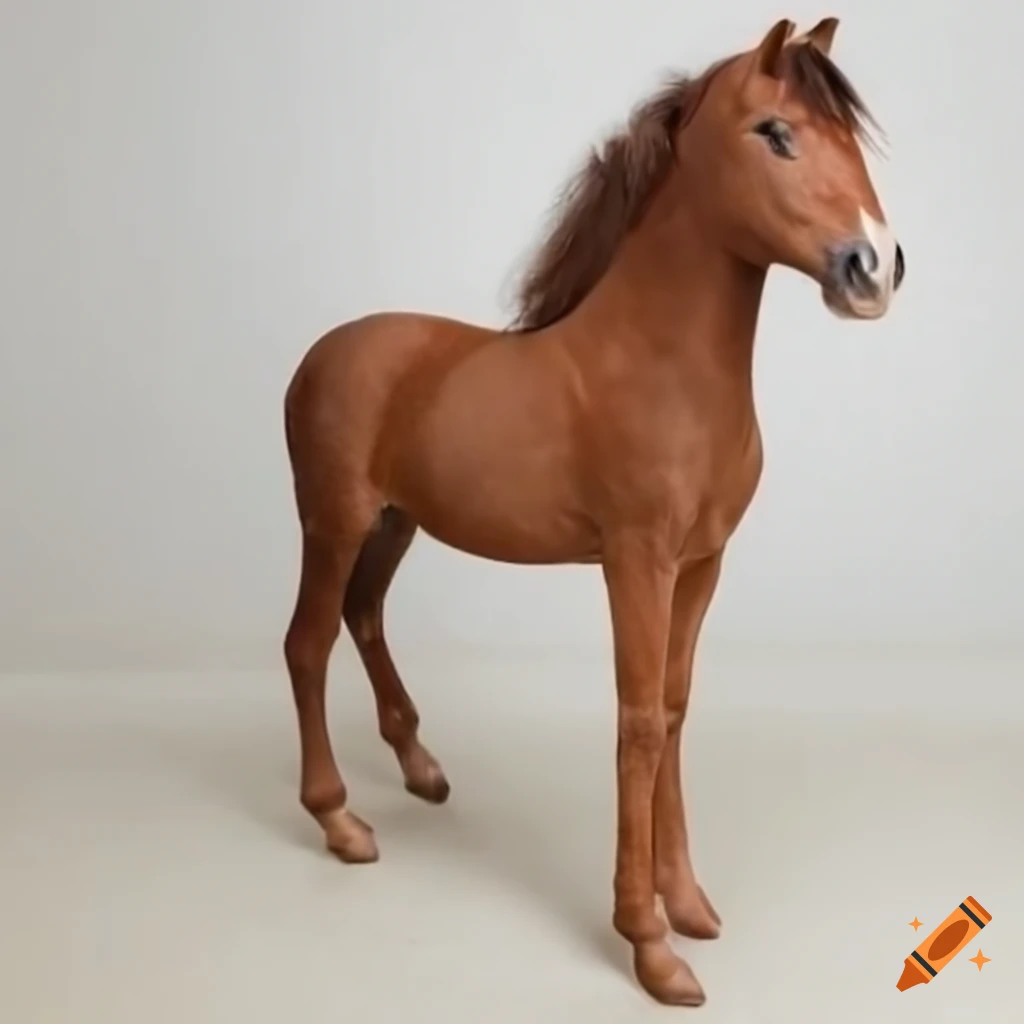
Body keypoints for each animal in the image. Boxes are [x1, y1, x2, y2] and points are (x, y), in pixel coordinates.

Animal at [282, 16, 904, 1006]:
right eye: (775, 131)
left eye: (849, 135)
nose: (874, 267)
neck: (658, 364)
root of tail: (318, 357)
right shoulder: (635, 560)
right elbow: (638, 720)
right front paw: (650, 943)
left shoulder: (702, 563)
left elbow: (676, 708)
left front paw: (687, 902)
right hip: (333, 520)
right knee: (307, 643)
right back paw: (341, 822)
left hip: (394, 523)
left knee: (363, 616)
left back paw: (422, 768)